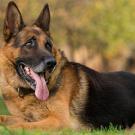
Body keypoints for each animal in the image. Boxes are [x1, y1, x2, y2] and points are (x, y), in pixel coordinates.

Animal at [0, 0, 135, 130]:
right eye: (29, 43)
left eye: (48, 45)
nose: (51, 63)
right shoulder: (24, 118)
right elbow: (5, 118)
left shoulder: (59, 121)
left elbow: (18, 126)